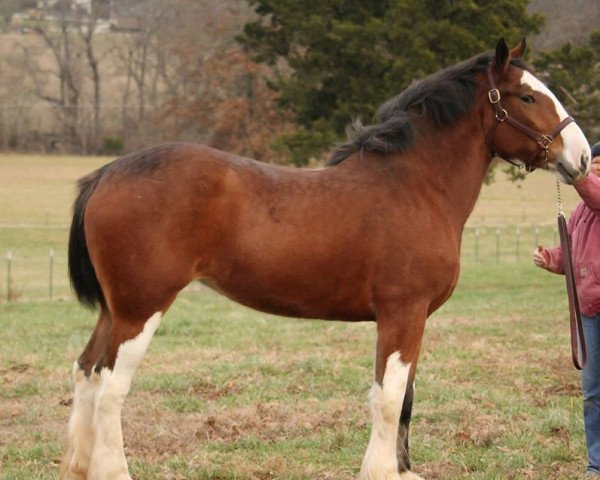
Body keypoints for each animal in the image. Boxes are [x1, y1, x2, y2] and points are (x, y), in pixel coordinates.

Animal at [62, 38, 592, 480]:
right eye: (527, 98)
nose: (583, 158)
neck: (414, 186)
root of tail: (106, 174)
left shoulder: (413, 319)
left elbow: (404, 398)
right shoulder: (402, 314)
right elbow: (389, 398)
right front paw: (382, 472)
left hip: (114, 310)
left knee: (86, 372)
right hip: (141, 309)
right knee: (110, 387)